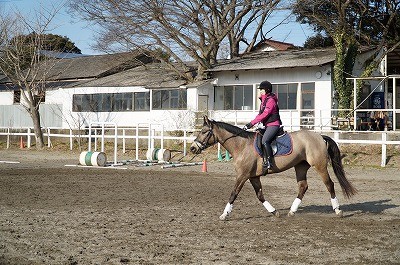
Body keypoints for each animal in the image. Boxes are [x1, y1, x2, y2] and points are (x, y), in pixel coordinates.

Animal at [191, 114, 356, 220]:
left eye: (204, 132)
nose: (193, 148)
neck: (241, 145)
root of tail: (320, 136)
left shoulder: (242, 175)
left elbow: (233, 194)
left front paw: (224, 214)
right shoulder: (253, 176)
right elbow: (260, 195)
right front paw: (274, 211)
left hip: (319, 166)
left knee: (329, 184)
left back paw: (338, 211)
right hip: (300, 167)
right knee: (303, 186)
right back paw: (292, 211)